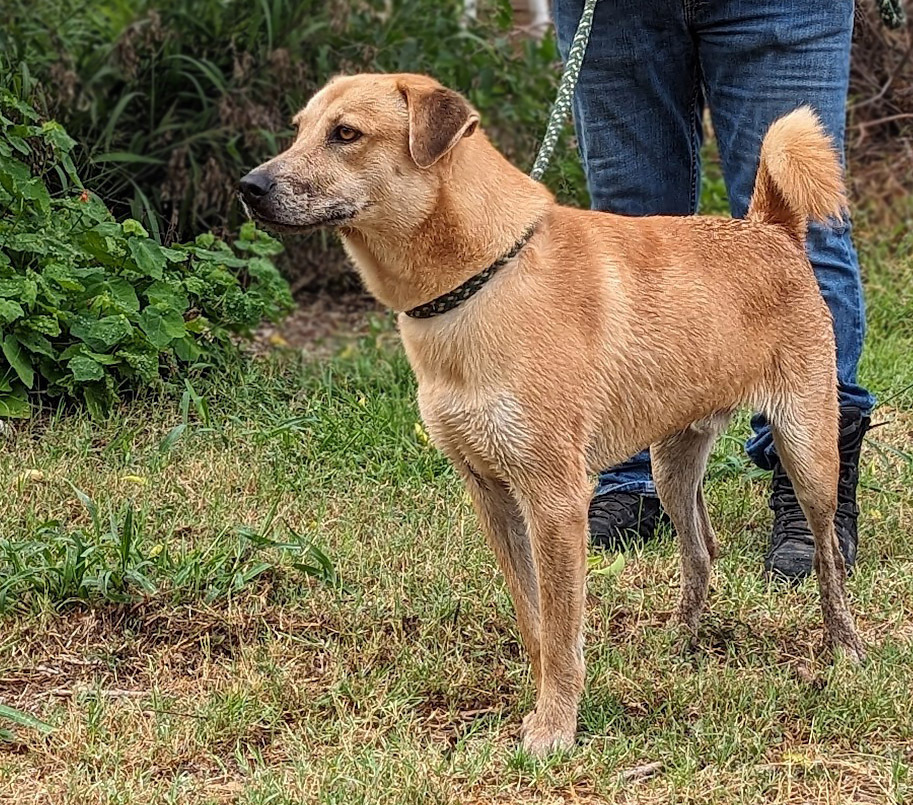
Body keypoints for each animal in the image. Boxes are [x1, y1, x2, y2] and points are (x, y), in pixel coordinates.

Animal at [240, 70, 864, 752]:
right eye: (299, 130)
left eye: (346, 134)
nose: (250, 188)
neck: (478, 282)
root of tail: (771, 228)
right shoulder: (491, 492)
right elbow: (534, 622)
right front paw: (541, 707)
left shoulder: (555, 498)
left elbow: (564, 631)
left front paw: (555, 730)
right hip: (672, 463)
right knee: (702, 550)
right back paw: (682, 642)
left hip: (807, 450)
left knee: (828, 559)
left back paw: (843, 648)